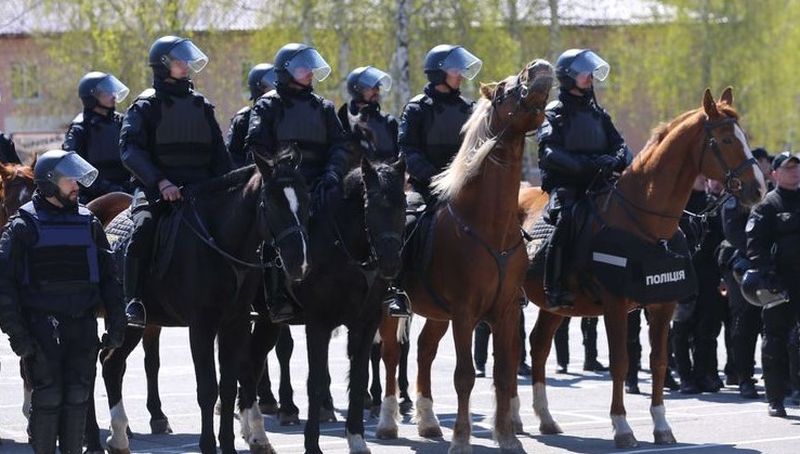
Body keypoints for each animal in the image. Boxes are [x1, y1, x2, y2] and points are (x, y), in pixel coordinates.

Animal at [95, 152, 310, 454]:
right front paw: (210, 444)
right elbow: (208, 388)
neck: (221, 244)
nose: (298, 262)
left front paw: (231, 443)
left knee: (111, 364)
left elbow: (230, 385)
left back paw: (118, 437)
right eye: (271, 203)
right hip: (126, 322)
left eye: (306, 200)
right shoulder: (202, 326)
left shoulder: (236, 323)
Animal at [234, 157, 404, 454]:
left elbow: (358, 378)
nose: (391, 262)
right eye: (371, 207)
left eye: (403, 204)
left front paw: (357, 439)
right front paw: (312, 444)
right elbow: (315, 381)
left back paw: (254, 433)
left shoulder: (366, 322)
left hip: (267, 322)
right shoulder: (318, 323)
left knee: (252, 363)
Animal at [376, 58, 556, 452]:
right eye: (503, 90)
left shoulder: (505, 312)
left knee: (425, 352)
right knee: (391, 355)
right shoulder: (464, 313)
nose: (539, 67)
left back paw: (428, 422)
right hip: (389, 309)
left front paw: (508, 437)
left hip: (435, 314)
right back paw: (387, 423)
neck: (489, 227)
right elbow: (464, 376)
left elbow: (503, 374)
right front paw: (461, 439)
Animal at [520, 87, 764, 448]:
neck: (646, 224)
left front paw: (661, 426)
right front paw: (622, 427)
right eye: (725, 139)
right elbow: (621, 362)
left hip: (555, 306)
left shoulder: (663, 305)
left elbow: (660, 361)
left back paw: (545, 418)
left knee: (537, 346)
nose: (759, 188)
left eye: (744, 136)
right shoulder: (615, 306)